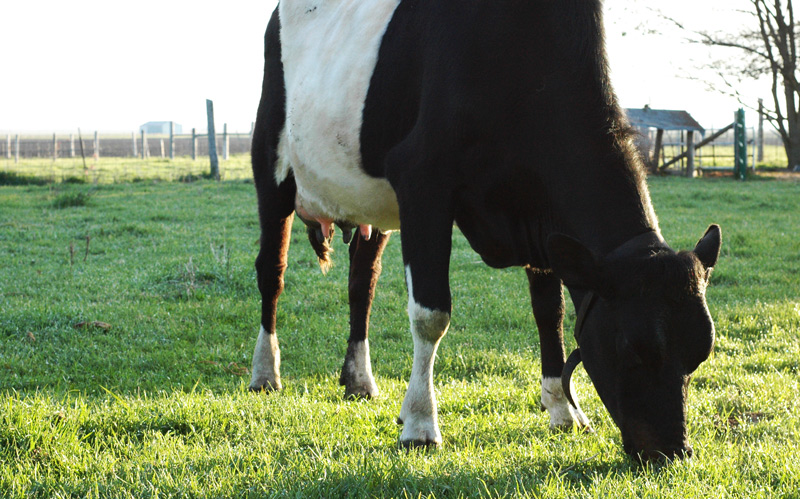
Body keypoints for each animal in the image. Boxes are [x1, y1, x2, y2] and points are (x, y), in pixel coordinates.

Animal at [248, 0, 722, 462]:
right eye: (632, 347)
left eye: (700, 354)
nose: (673, 451)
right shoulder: (421, 179)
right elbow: (431, 314)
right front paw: (419, 424)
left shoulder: (538, 216)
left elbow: (549, 312)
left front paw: (562, 409)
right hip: (271, 165)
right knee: (272, 272)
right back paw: (265, 373)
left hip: (374, 201)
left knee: (361, 283)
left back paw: (359, 380)